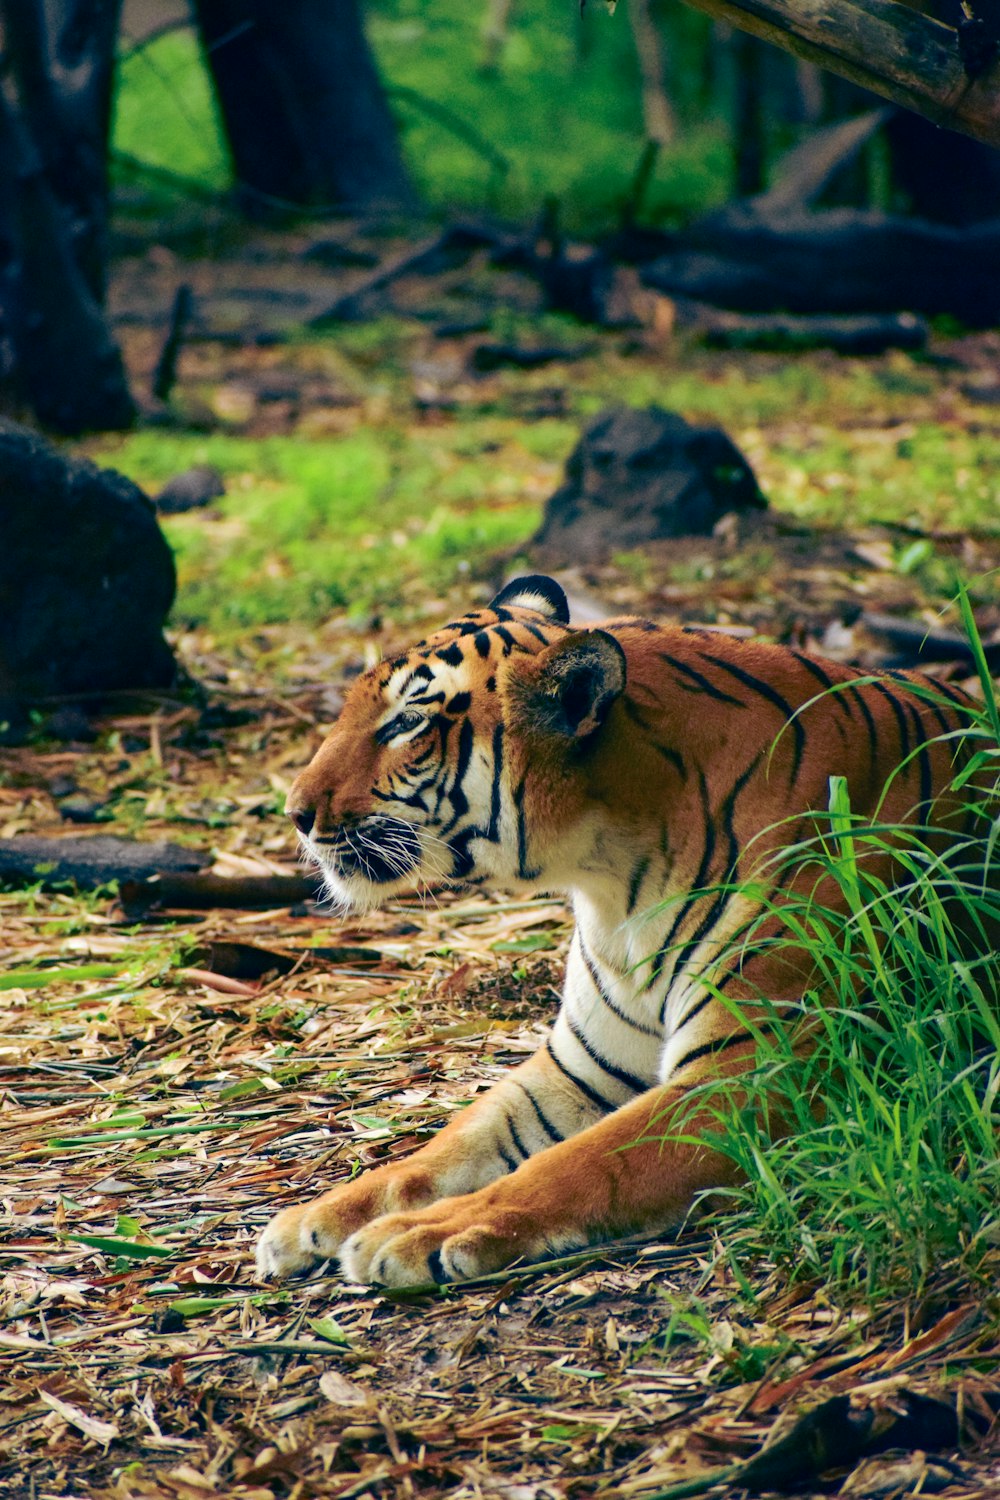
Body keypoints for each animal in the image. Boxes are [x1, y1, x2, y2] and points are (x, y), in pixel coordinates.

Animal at [254, 573, 983, 1290]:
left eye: (406, 723)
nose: (294, 813)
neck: (615, 879)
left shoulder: (748, 1071)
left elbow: (582, 1163)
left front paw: (420, 1234)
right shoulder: (578, 1069)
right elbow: (453, 1139)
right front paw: (317, 1218)